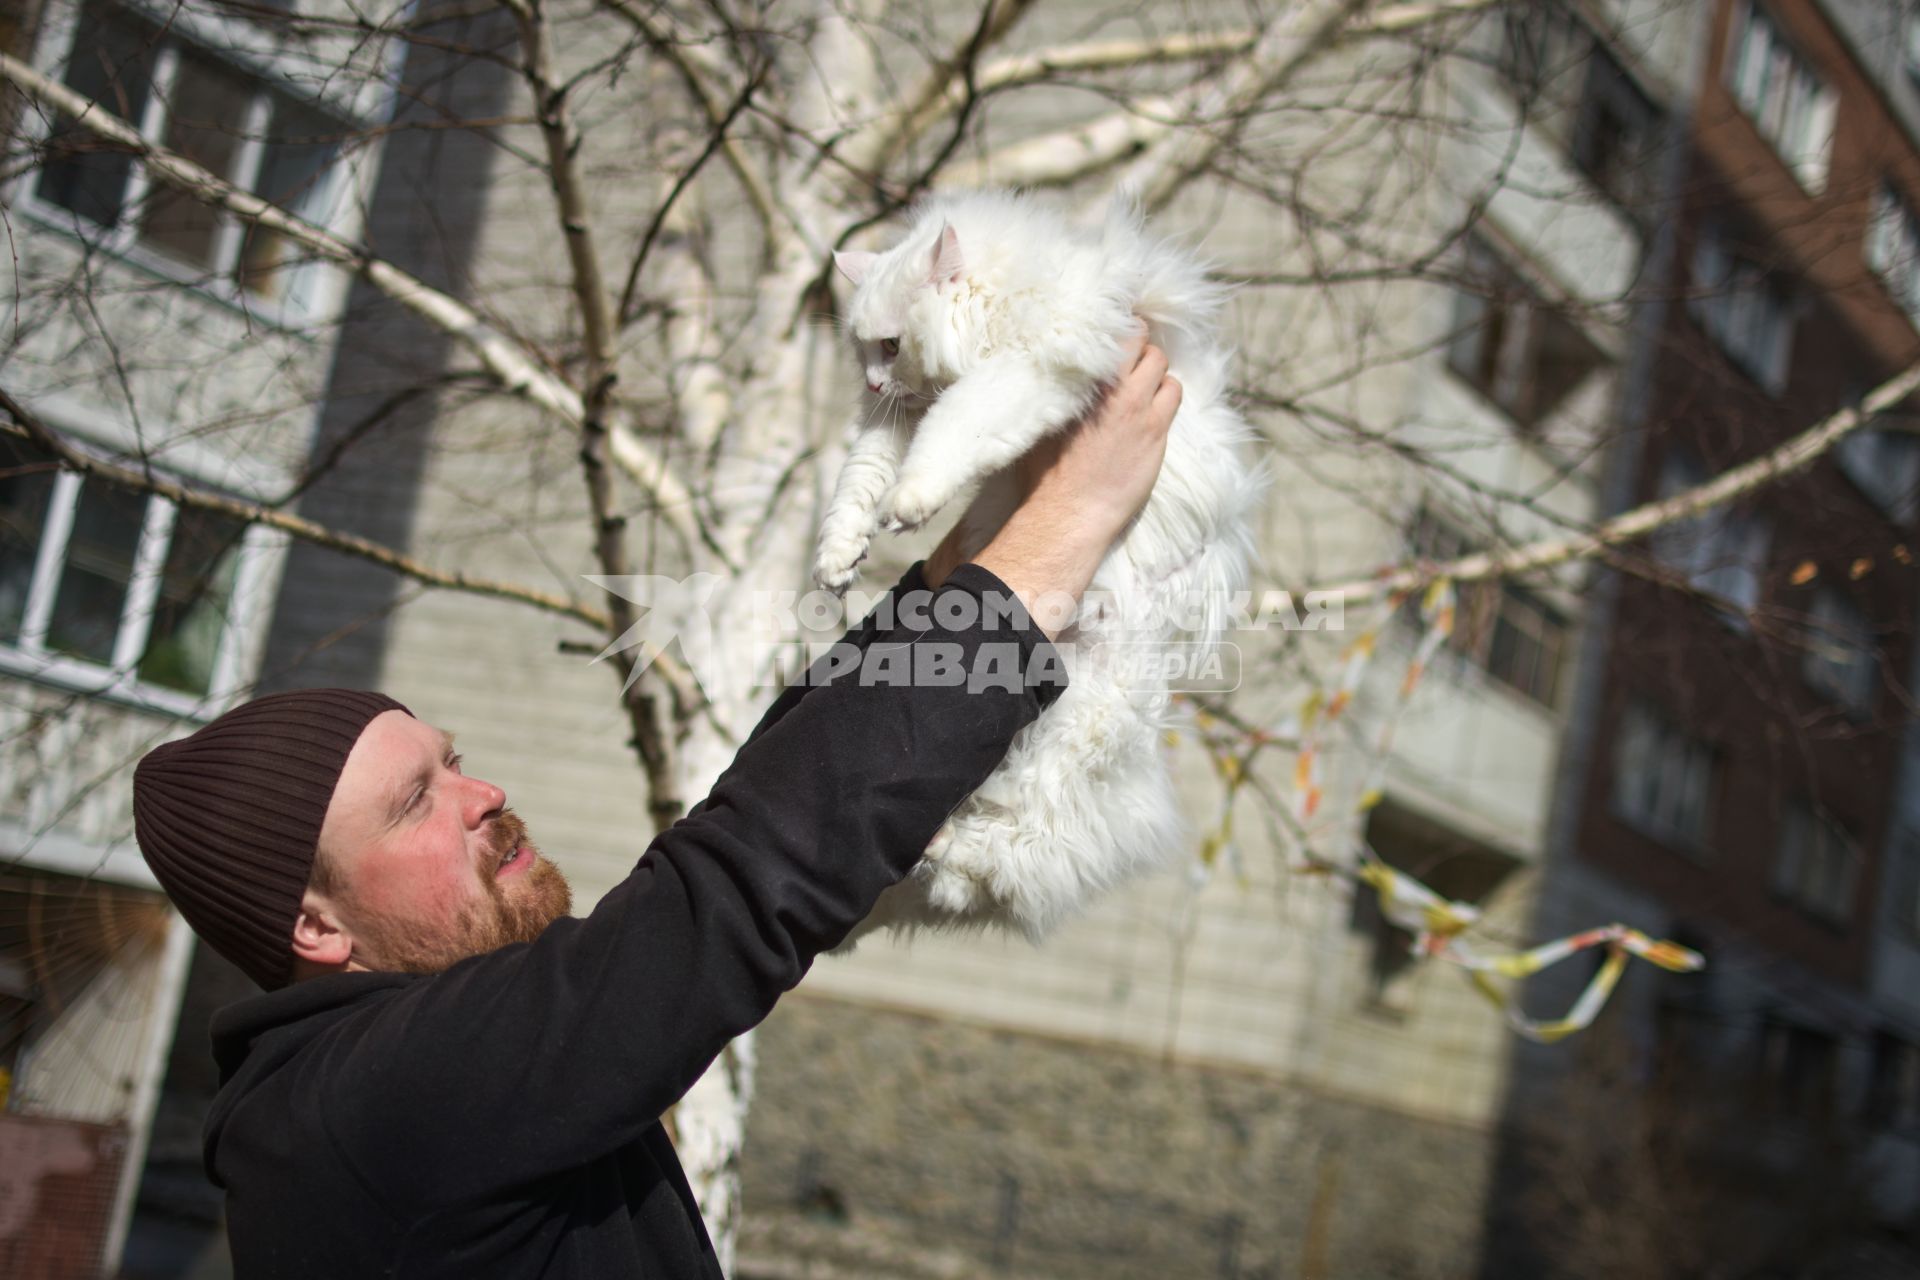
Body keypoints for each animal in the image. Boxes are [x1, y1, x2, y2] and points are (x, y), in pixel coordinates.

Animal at [817, 189, 1267, 948]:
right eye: (862, 351)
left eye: (889, 346)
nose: (874, 381)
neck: (1001, 300)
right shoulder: (896, 421)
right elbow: (860, 479)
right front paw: (837, 556)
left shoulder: (1029, 371)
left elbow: (952, 434)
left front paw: (909, 503)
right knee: (980, 871)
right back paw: (932, 844)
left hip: (1069, 748)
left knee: (1009, 855)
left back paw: (943, 843)